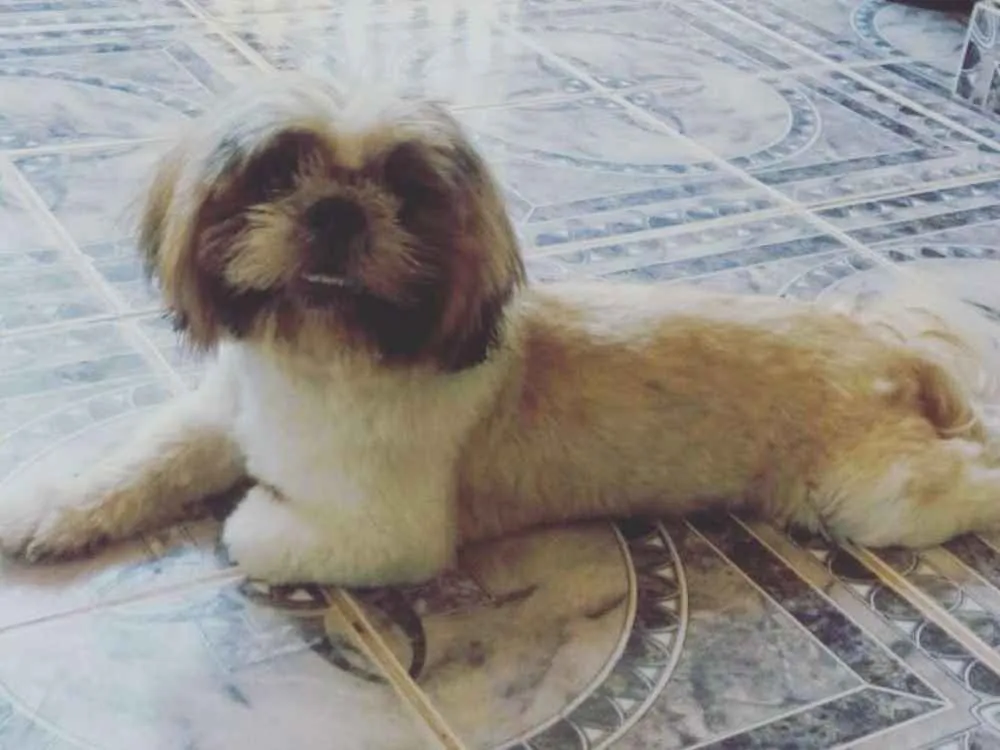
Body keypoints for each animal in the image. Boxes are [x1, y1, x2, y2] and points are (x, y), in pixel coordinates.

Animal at [3, 74, 1000, 587]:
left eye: (406, 193)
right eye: (277, 173)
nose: (334, 211)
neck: (315, 359)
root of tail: (895, 350)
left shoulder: (383, 532)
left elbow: (251, 528)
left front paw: (250, 508)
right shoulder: (217, 415)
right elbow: (140, 462)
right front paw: (55, 507)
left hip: (875, 498)